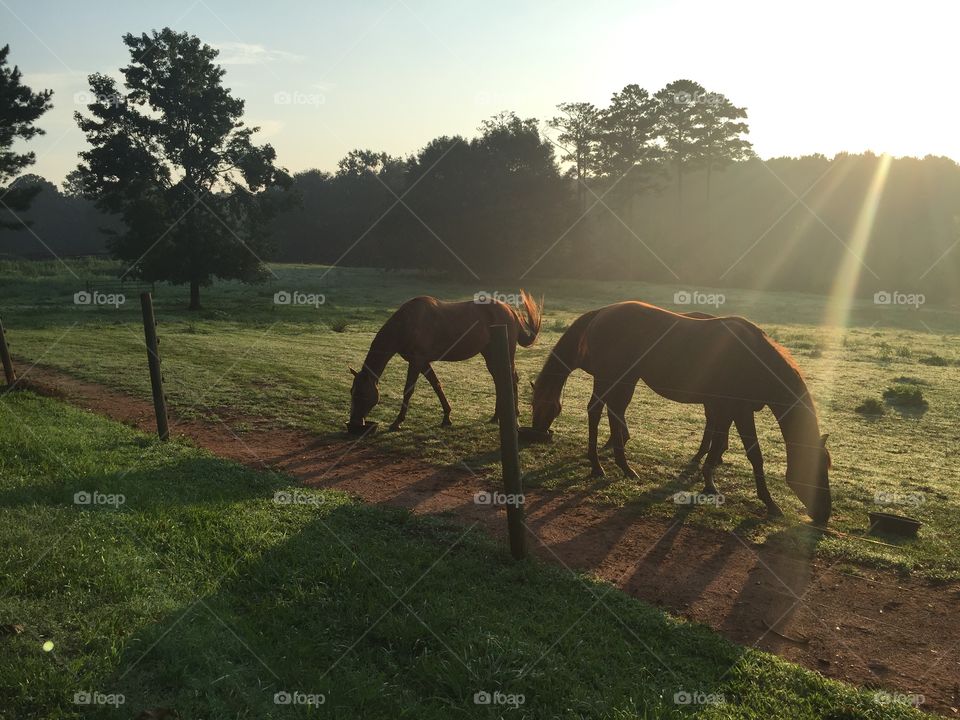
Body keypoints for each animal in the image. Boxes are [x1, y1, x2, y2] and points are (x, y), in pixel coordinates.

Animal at [346, 290, 544, 430]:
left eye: (361, 393)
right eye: (351, 391)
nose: (355, 422)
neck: (408, 323)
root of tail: (509, 310)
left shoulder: (416, 362)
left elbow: (408, 390)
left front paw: (397, 422)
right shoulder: (423, 362)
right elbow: (437, 385)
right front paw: (447, 417)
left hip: (505, 354)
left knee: (511, 379)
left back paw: (515, 417)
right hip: (491, 354)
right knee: (500, 381)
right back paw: (496, 417)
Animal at [528, 302, 828, 524]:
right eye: (819, 467)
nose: (825, 514)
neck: (755, 358)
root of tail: (601, 315)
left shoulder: (725, 407)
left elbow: (719, 439)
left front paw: (709, 478)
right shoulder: (738, 409)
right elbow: (753, 455)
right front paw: (769, 502)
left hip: (624, 379)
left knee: (612, 413)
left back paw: (621, 465)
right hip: (610, 377)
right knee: (597, 411)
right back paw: (599, 465)